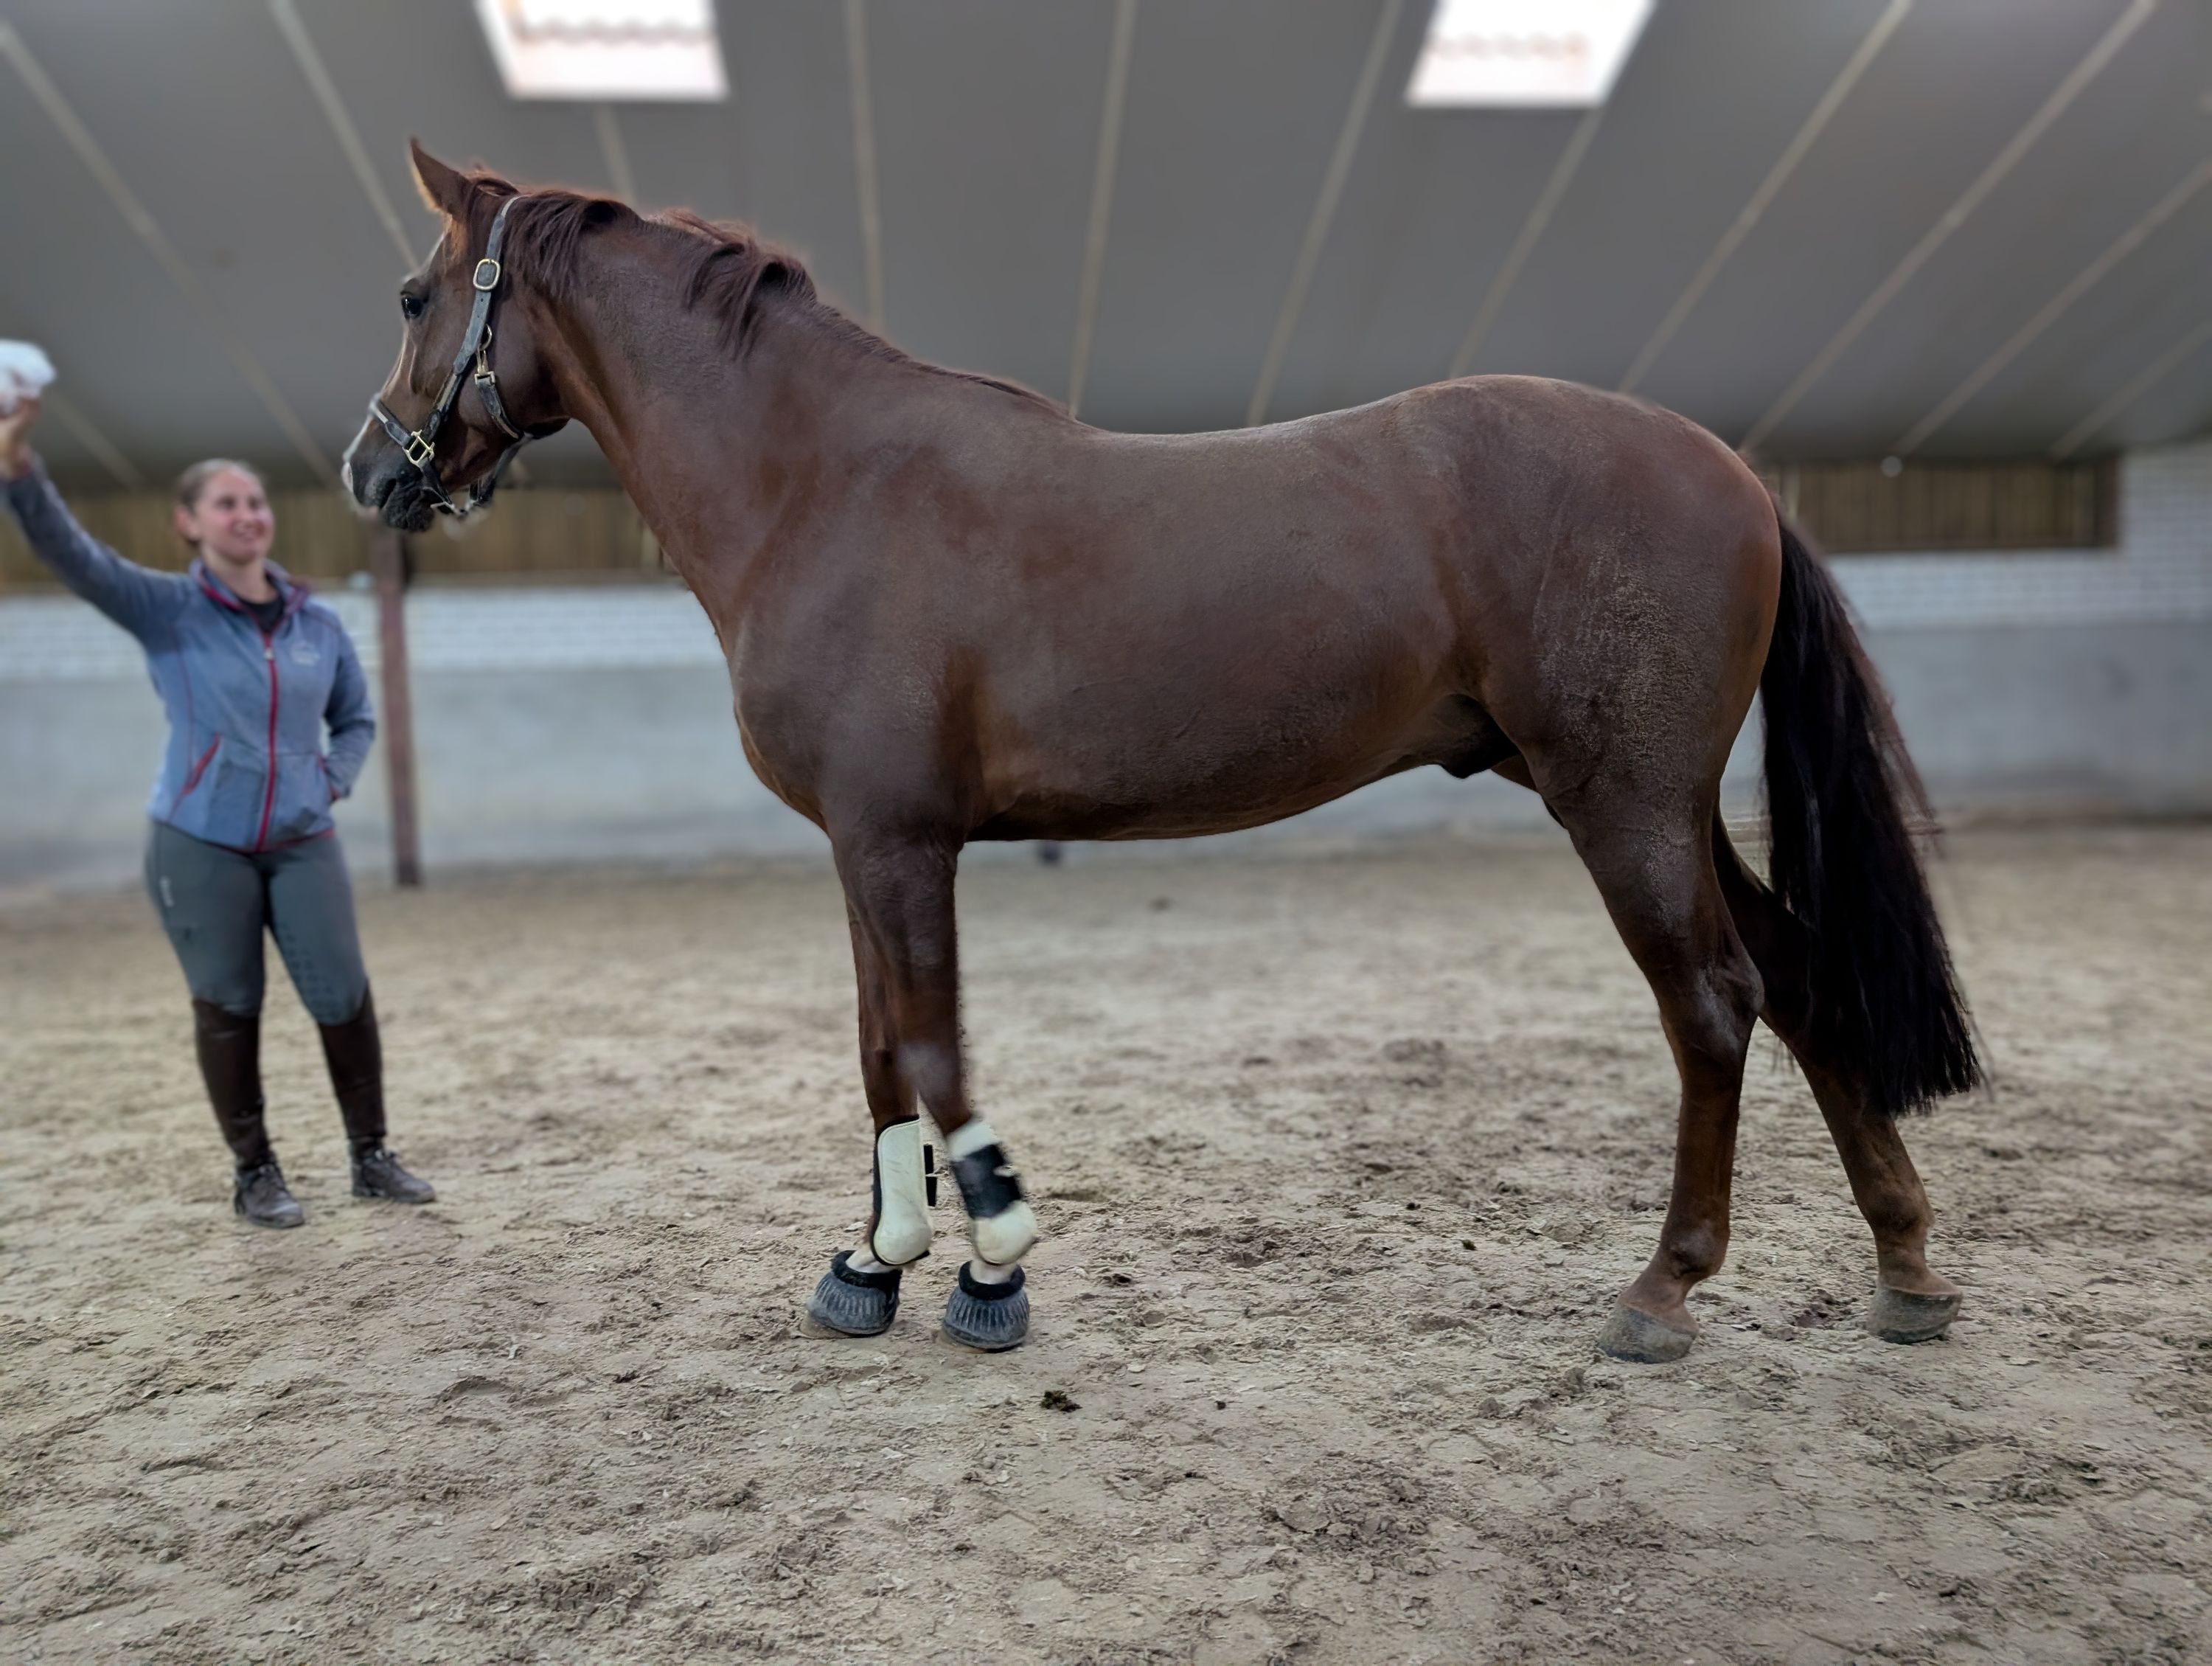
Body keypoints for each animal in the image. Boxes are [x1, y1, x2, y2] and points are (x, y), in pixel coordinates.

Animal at [345, 144, 1980, 1362]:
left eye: (417, 292)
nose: (371, 470)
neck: (824, 482)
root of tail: (1735, 472)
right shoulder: (861, 844)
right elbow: (879, 1046)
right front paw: (874, 1262)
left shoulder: (900, 839)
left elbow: (932, 1046)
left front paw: (993, 1260)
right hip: (1660, 805)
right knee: (1803, 977)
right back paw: (1905, 1266)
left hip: (1624, 801)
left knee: (1715, 1003)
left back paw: (1665, 1287)